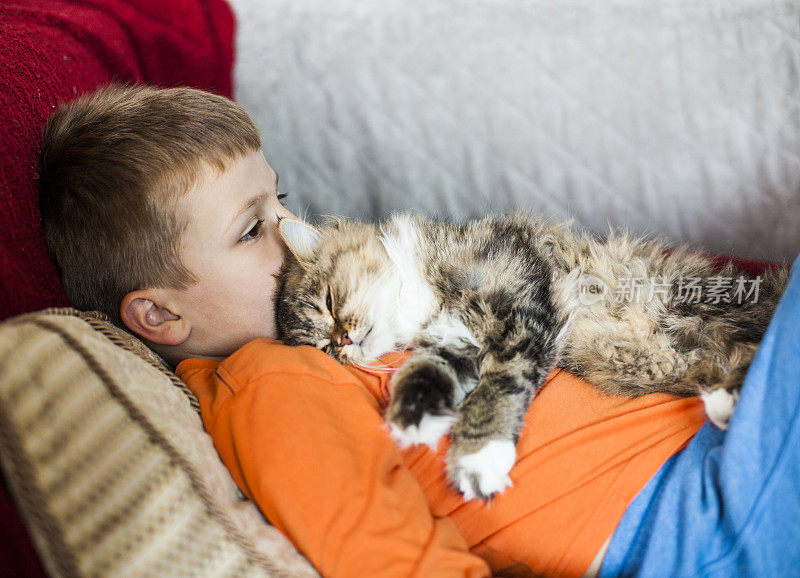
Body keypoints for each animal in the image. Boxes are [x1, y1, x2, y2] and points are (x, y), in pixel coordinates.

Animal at [276, 212, 788, 500]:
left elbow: (498, 389)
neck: (421, 300)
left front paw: (479, 458)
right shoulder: (456, 342)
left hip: (698, 305)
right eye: (323, 349)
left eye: (328, 302)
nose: (343, 342)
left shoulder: (522, 313)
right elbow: (426, 372)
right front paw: (413, 416)